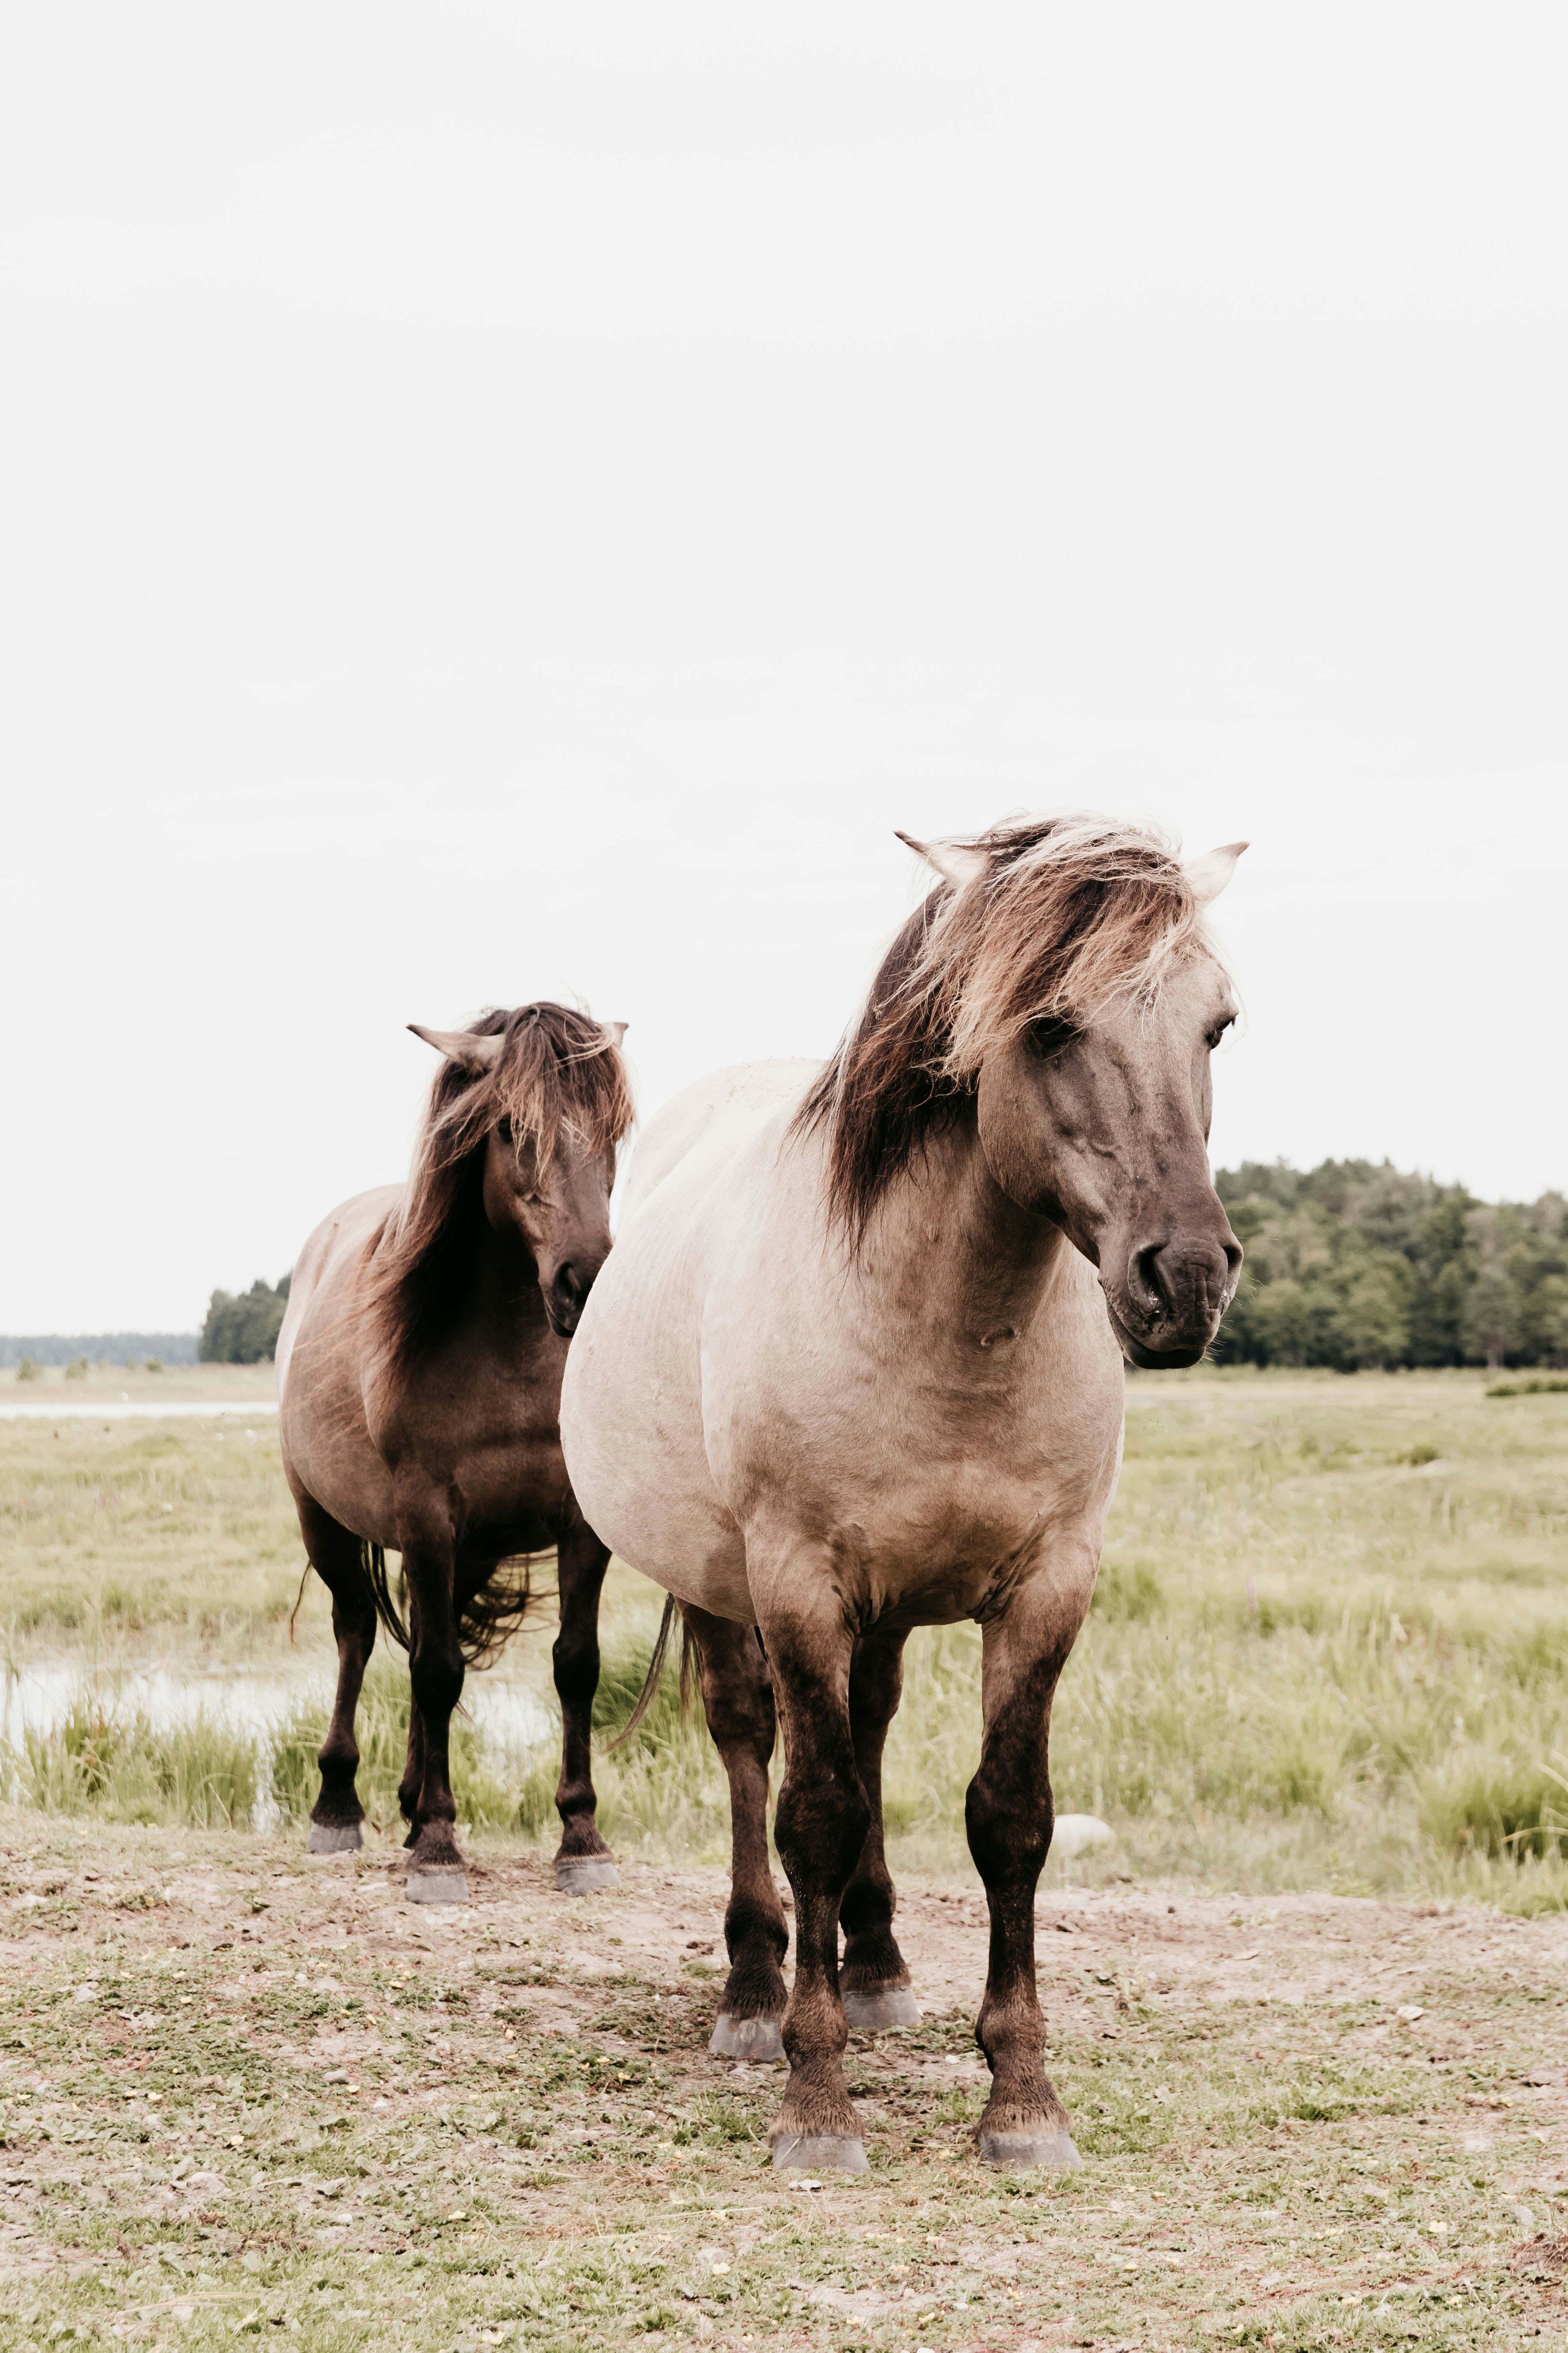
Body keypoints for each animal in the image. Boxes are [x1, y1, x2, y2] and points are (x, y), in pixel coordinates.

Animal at [276, 1002, 634, 1903]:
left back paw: (406, 1804)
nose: (584, 1285)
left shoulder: (579, 1527)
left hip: (463, 1552)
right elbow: (438, 1672)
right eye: (511, 1127)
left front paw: (581, 1837)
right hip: (326, 1523)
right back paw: (341, 1806)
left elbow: (574, 1665)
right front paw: (439, 1846)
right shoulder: (427, 1515)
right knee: (357, 1634)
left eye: (616, 1129)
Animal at [560, 813, 1245, 2170]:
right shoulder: (798, 1582)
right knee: (750, 1747)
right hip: (727, 1587)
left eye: (1217, 1025)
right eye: (1049, 1024)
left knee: (867, 1730)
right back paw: (758, 1987)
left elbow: (1008, 1817)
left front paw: (1022, 2099)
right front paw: (816, 2103)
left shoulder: (1045, 1587)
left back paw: (872, 1963)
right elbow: (814, 1812)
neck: (943, 1318)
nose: (1186, 1275)